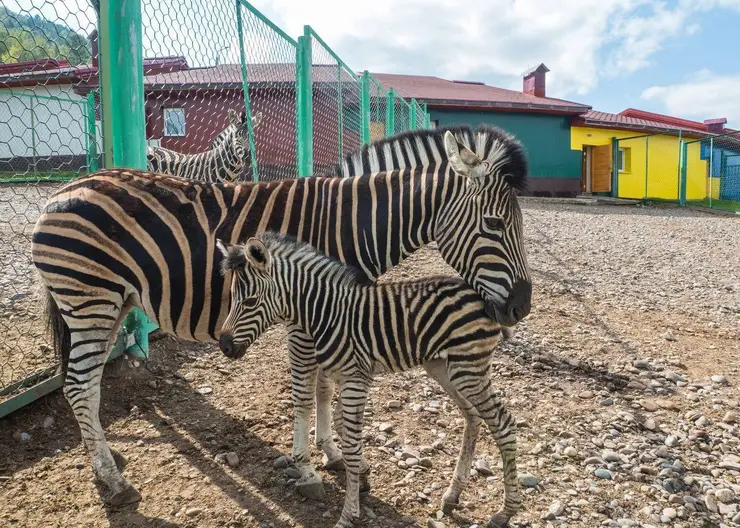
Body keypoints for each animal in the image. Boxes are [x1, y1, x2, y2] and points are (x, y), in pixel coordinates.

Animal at [217, 234, 524, 528]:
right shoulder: (345, 377)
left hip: (468, 367)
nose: (224, 346)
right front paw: (360, 478)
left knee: (503, 424)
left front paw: (347, 516)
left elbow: (351, 446)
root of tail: (486, 300)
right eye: (231, 297)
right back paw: (452, 495)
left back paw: (505, 512)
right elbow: (341, 426)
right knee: (472, 416)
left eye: (250, 301)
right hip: (443, 367)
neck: (324, 313)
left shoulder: (355, 378)